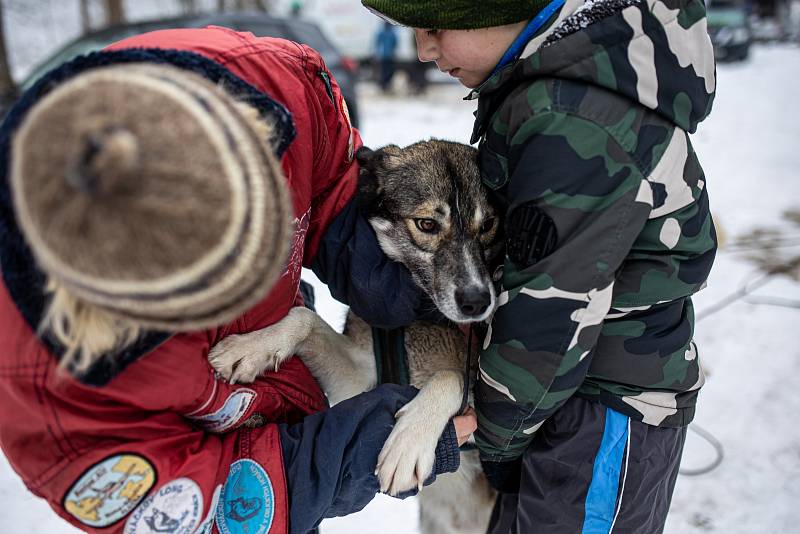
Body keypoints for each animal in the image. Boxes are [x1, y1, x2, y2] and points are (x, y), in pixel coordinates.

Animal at [211, 140, 500, 532]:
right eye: (426, 224)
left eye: (488, 225)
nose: (477, 301)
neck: (421, 322)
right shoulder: (359, 380)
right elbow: (302, 318)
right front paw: (250, 347)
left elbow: (450, 376)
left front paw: (409, 441)